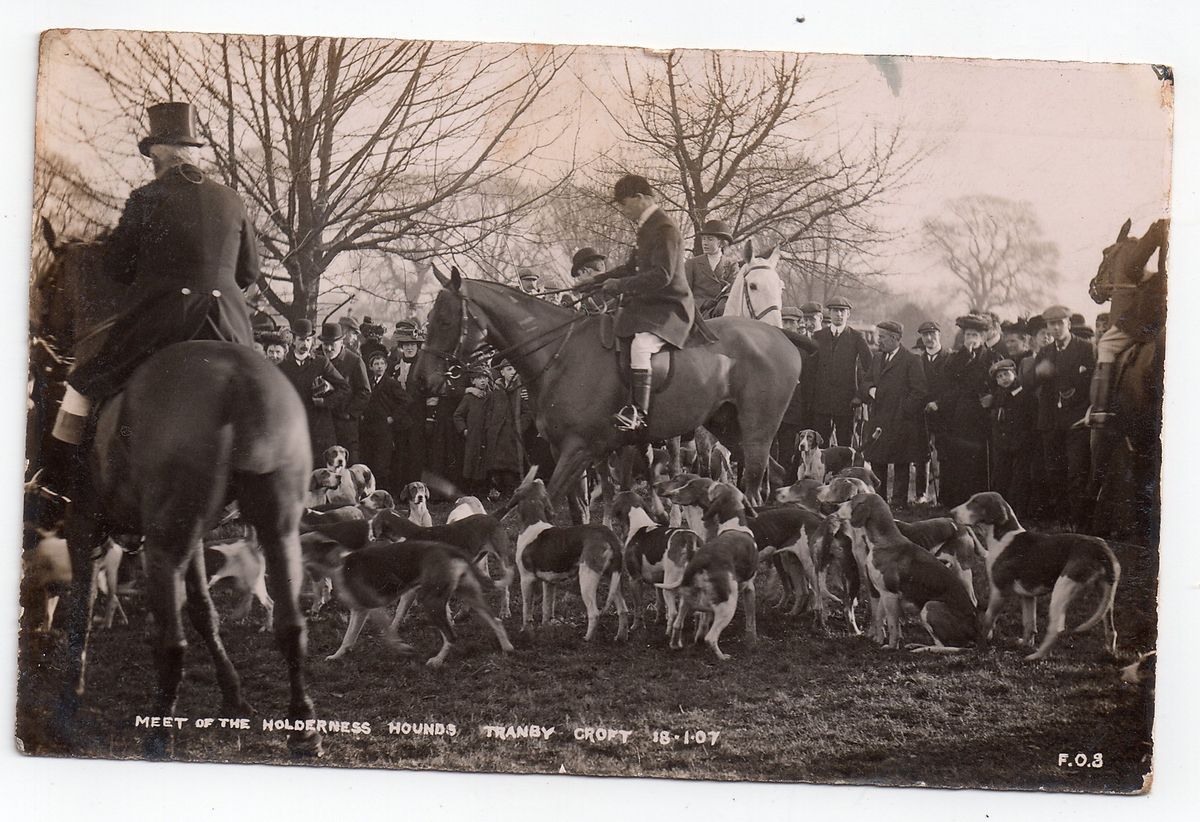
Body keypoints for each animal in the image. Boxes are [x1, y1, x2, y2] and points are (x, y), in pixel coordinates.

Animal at [31, 224, 324, 758]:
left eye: (48, 282)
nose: (41, 348)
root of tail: (238, 380)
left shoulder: (85, 524)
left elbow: (81, 610)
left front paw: (68, 703)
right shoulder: (198, 535)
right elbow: (206, 612)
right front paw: (234, 697)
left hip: (165, 541)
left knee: (171, 641)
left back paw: (159, 733)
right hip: (272, 527)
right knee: (291, 626)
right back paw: (303, 726)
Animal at [415, 266, 806, 508]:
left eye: (445, 320)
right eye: (431, 318)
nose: (423, 380)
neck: (560, 353)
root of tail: (779, 335)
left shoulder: (579, 449)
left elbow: (550, 505)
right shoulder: (565, 449)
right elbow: (578, 510)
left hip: (756, 432)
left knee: (753, 487)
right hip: (728, 428)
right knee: (768, 481)